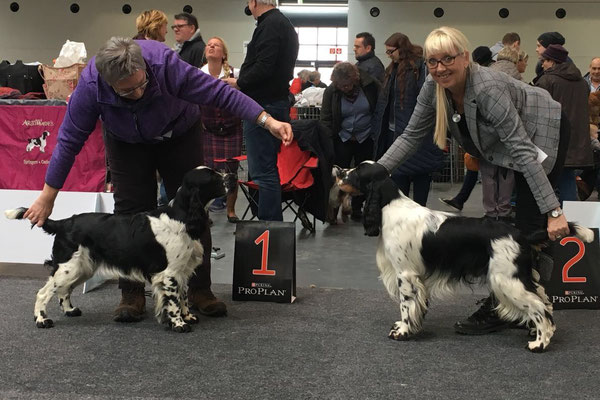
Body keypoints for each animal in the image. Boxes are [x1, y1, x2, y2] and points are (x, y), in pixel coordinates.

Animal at [4, 167, 236, 332]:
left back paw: (70, 310)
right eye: (213, 177)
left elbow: (184, 296)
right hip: (68, 267)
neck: (183, 217)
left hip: (83, 267)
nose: (232, 175)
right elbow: (174, 301)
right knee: (43, 292)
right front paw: (179, 324)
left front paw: (188, 317)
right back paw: (42, 320)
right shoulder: (169, 274)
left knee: (64, 290)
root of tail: (63, 223)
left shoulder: (183, 271)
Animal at [338, 161, 596, 352]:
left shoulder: (406, 274)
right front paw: (404, 326)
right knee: (544, 300)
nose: (338, 170)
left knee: (539, 307)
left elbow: (406, 304)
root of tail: (520, 233)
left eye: (357, 171)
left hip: (507, 280)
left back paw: (539, 343)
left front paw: (402, 332)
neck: (390, 205)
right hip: (519, 277)